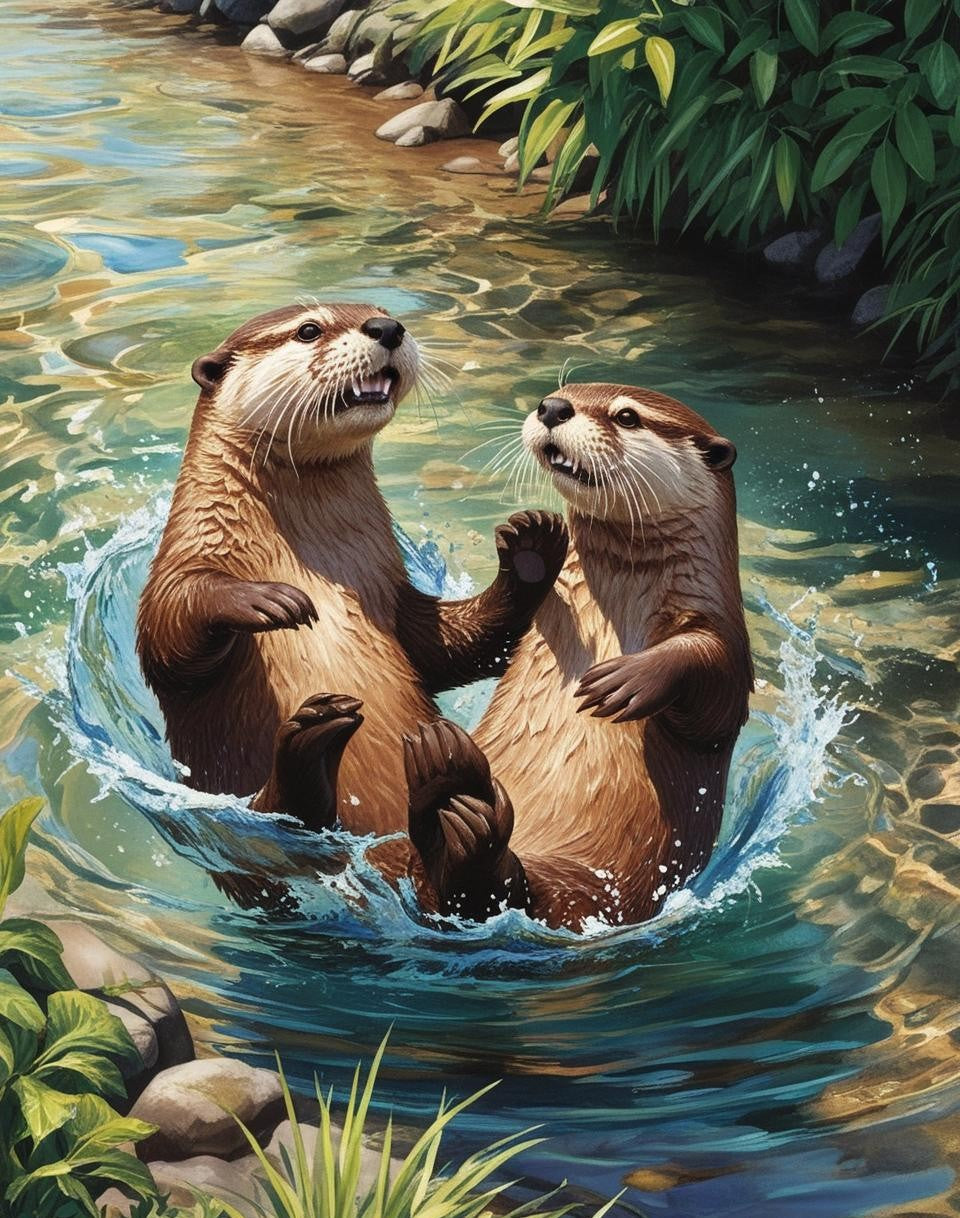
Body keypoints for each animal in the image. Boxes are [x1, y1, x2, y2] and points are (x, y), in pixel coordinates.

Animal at [136, 303, 568, 837]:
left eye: (382, 312)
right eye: (308, 329)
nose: (388, 328)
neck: (314, 559)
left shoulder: (391, 593)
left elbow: (443, 648)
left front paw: (531, 547)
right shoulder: (186, 552)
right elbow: (169, 631)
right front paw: (267, 599)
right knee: (288, 811)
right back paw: (315, 739)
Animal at [401, 384, 753, 930]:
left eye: (627, 416)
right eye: (560, 393)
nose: (552, 408)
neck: (616, 605)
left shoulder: (725, 632)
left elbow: (712, 682)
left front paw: (626, 681)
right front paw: (530, 543)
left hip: (593, 888)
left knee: (510, 894)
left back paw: (463, 822)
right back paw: (446, 790)